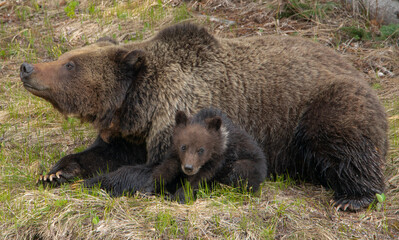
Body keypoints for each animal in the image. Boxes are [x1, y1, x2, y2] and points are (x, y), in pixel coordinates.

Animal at [20, 22, 390, 210]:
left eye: (70, 64)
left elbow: (158, 170)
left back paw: (352, 197)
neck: (140, 105)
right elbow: (105, 153)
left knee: (346, 141)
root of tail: (354, 67)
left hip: (320, 106)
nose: (26, 67)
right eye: (66, 56)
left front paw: (101, 182)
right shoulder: (134, 133)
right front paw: (56, 172)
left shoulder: (182, 123)